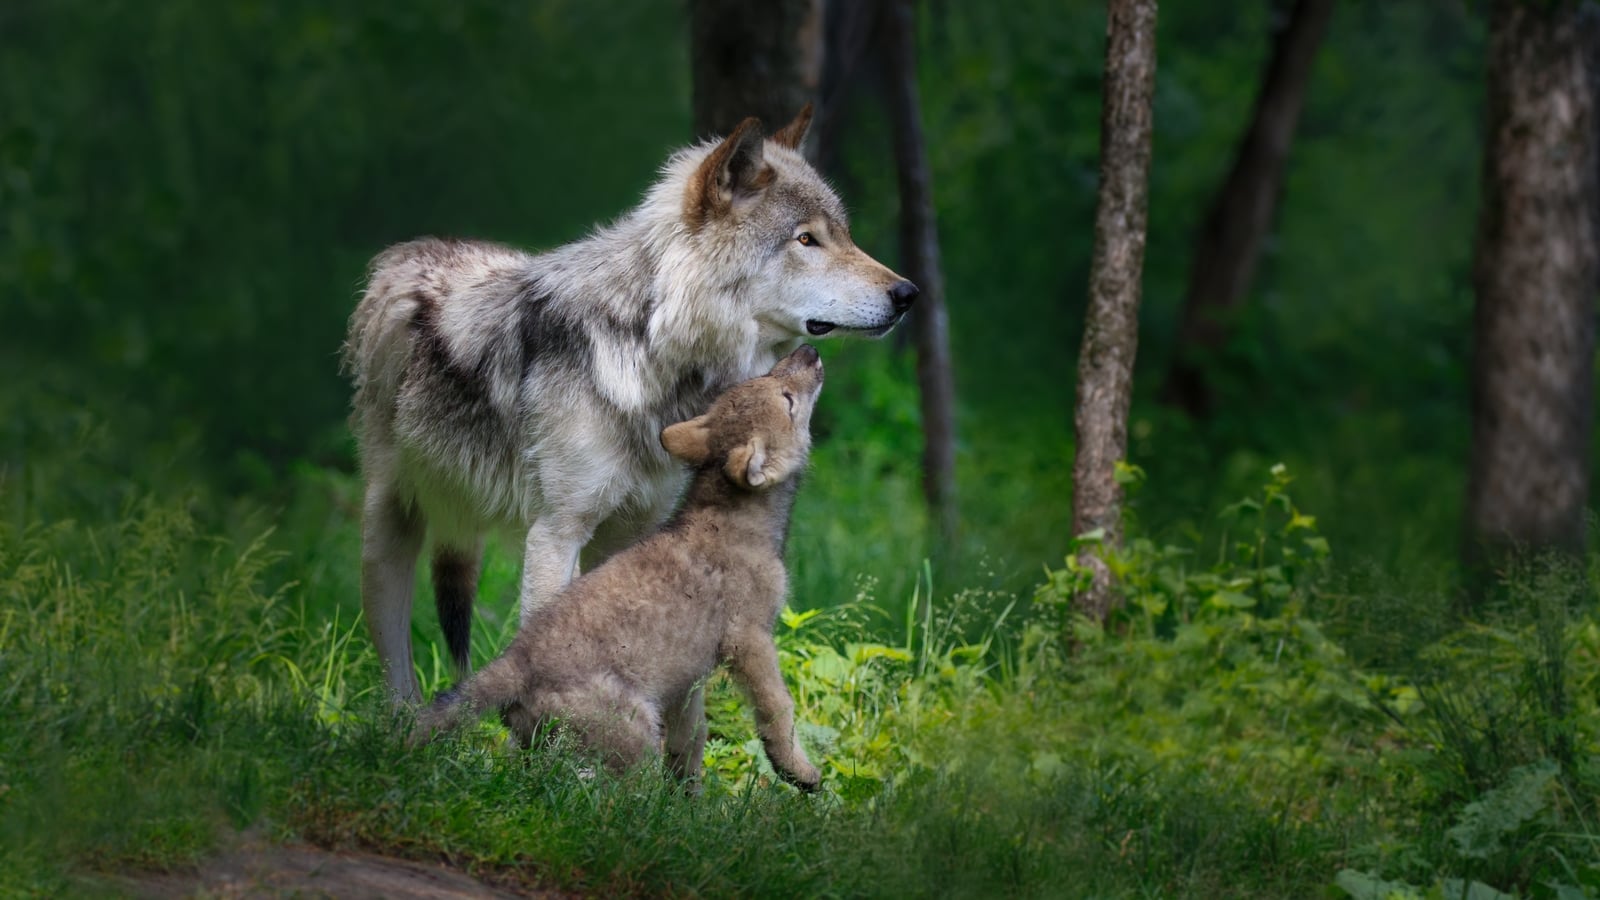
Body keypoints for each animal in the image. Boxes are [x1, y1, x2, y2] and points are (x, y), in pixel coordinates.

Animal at [345, 106, 916, 703]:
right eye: (806, 239)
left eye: (844, 235)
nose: (908, 294)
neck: (650, 350)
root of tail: (409, 252)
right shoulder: (556, 534)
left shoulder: (635, 532)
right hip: (387, 533)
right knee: (396, 665)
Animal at [413, 346, 826, 792]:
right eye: (787, 399)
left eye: (766, 378)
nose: (809, 351)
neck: (735, 517)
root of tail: (516, 661)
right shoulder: (749, 639)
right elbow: (777, 708)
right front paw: (799, 772)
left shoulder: (688, 678)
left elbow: (691, 738)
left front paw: (689, 799)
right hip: (636, 736)